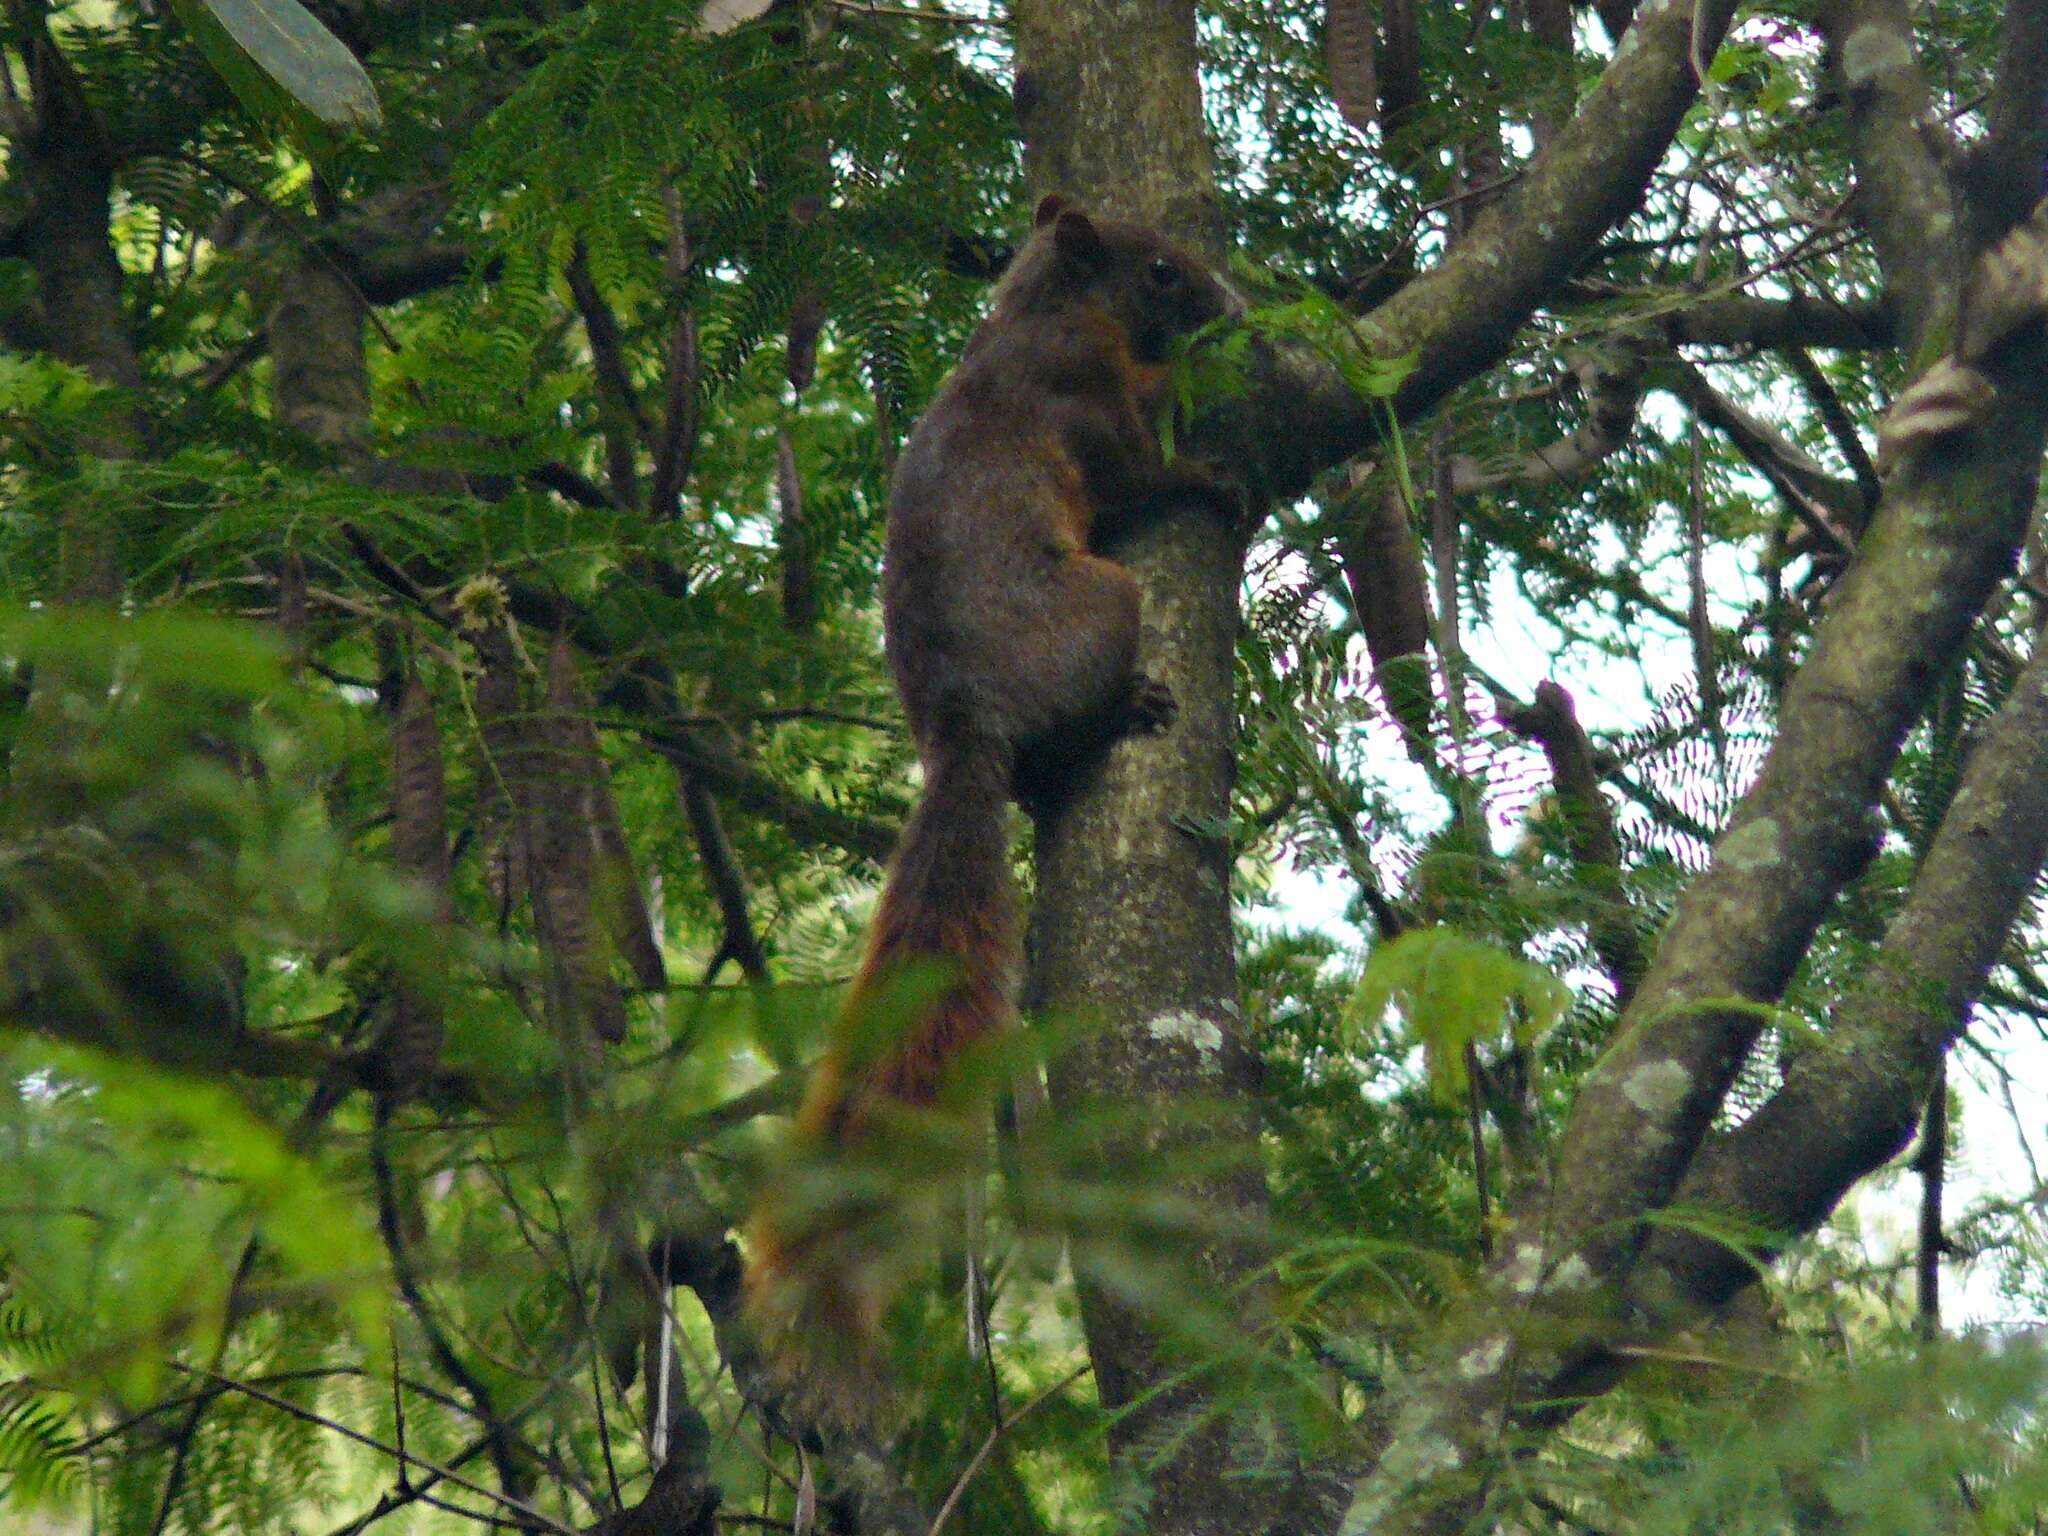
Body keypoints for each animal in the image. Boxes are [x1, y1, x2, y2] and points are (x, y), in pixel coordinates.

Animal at [745, 198, 1236, 1392]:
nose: (1229, 303)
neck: (1036, 310)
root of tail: (962, 727)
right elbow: (1140, 471)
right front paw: (1207, 462)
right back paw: (1122, 711)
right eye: (1160, 272)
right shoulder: (1079, 403)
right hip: (1104, 594)